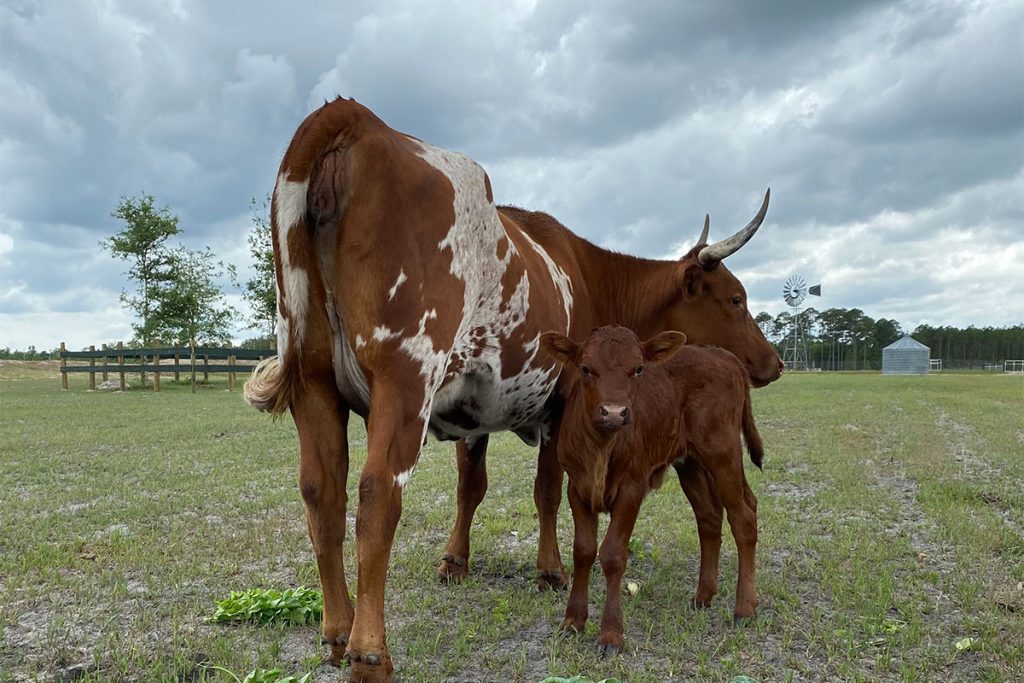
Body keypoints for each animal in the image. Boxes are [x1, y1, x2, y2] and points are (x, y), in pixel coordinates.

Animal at [539, 325, 764, 655]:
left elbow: (613, 554)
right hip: (690, 464)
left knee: (743, 515)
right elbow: (583, 551)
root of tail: (722, 354)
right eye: (585, 368)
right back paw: (703, 596)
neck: (602, 447)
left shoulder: (632, 487)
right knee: (709, 517)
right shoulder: (576, 488)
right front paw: (573, 621)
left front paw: (611, 635)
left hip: (723, 452)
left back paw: (745, 608)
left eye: (639, 369)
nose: (614, 413)